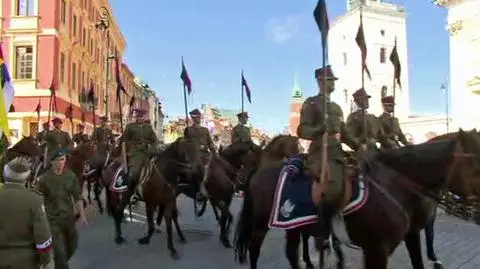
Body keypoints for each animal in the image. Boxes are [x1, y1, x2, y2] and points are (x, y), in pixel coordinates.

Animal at [234, 129, 480, 266]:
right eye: (476, 166)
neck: (395, 183)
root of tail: (260, 170)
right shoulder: (376, 250)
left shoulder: (410, 234)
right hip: (260, 224)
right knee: (254, 251)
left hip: (293, 226)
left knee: (292, 254)